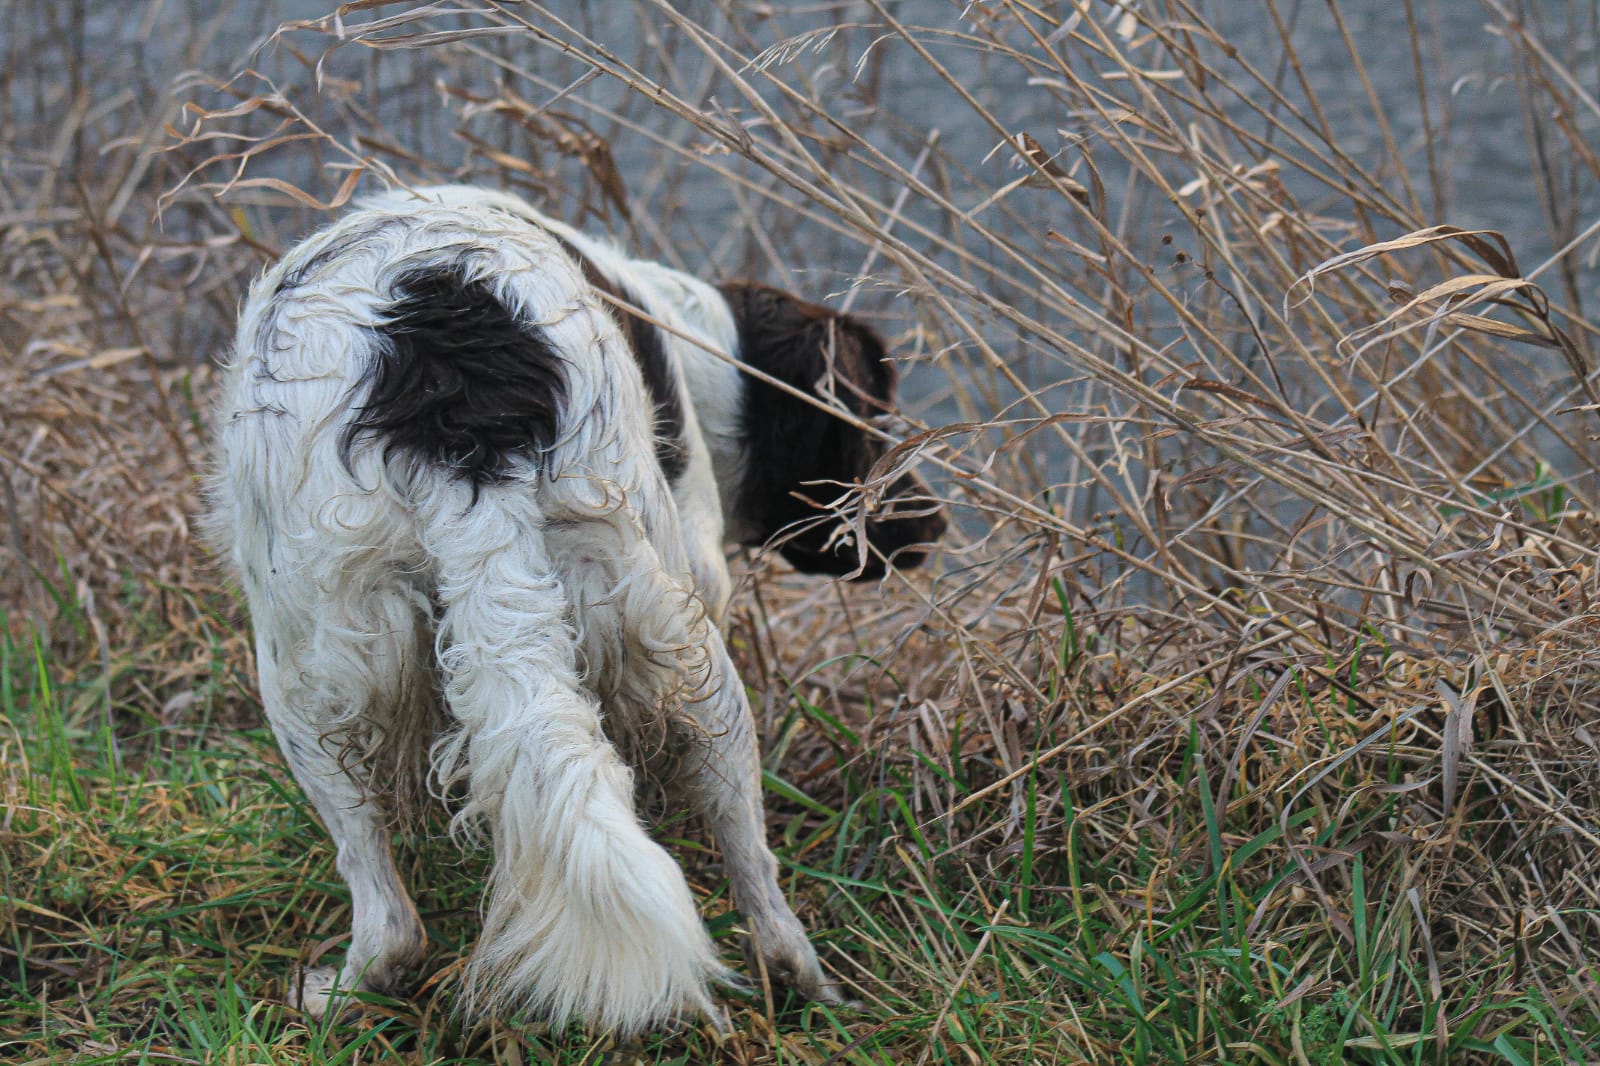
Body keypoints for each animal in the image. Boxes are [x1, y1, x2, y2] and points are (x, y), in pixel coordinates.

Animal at [204, 186, 940, 1030]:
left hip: (302, 667)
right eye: (873, 423)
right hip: (671, 633)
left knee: (389, 921)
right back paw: (801, 979)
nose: (936, 526)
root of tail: (455, 389)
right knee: (753, 867)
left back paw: (336, 995)